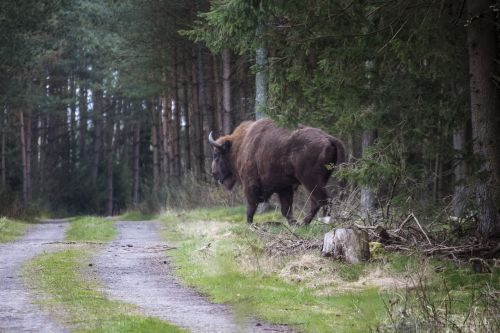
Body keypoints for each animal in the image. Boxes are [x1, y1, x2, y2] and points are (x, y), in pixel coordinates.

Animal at [207, 118, 344, 224]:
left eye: (216, 154)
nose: (213, 173)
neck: (239, 146)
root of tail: (329, 138)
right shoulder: (284, 187)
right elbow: (286, 209)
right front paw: (293, 223)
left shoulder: (250, 185)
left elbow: (251, 207)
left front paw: (249, 224)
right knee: (318, 201)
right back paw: (305, 223)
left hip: (310, 181)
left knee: (322, 200)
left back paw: (316, 222)